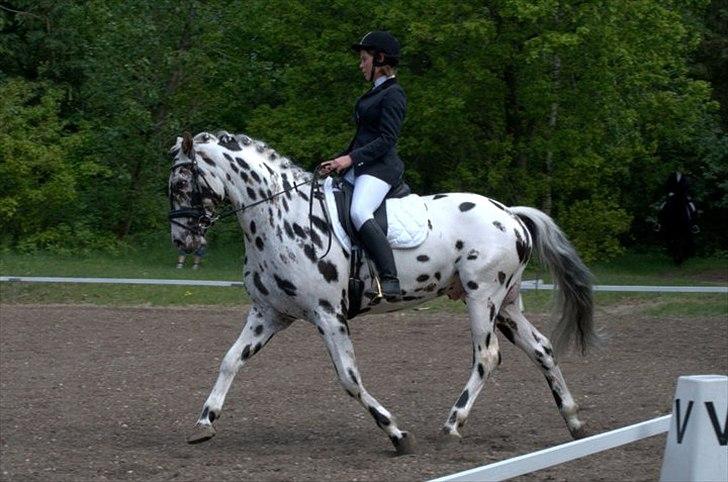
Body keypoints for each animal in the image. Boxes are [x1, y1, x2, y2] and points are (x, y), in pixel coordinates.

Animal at [168, 130, 600, 454]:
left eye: (182, 183)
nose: (182, 241)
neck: (281, 217)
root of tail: (510, 214)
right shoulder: (268, 314)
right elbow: (229, 360)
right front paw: (204, 422)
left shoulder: (328, 315)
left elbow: (349, 379)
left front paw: (396, 433)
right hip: (506, 305)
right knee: (542, 349)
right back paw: (574, 421)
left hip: (483, 297)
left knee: (487, 356)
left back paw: (452, 425)